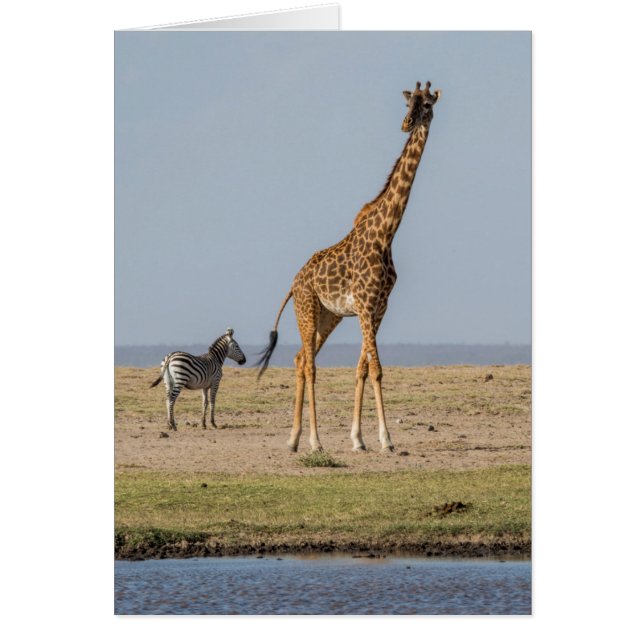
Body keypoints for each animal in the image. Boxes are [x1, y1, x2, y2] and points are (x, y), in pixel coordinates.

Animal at [257, 81, 441, 452]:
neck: (387, 234)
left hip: (329, 317)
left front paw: (358, 439)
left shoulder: (378, 308)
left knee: (300, 359)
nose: (407, 123)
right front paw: (386, 439)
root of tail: (293, 283)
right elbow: (378, 369)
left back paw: (293, 439)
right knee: (310, 365)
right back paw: (314, 441)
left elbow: (363, 368)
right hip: (307, 309)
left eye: (427, 104)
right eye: (409, 103)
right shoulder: (367, 306)